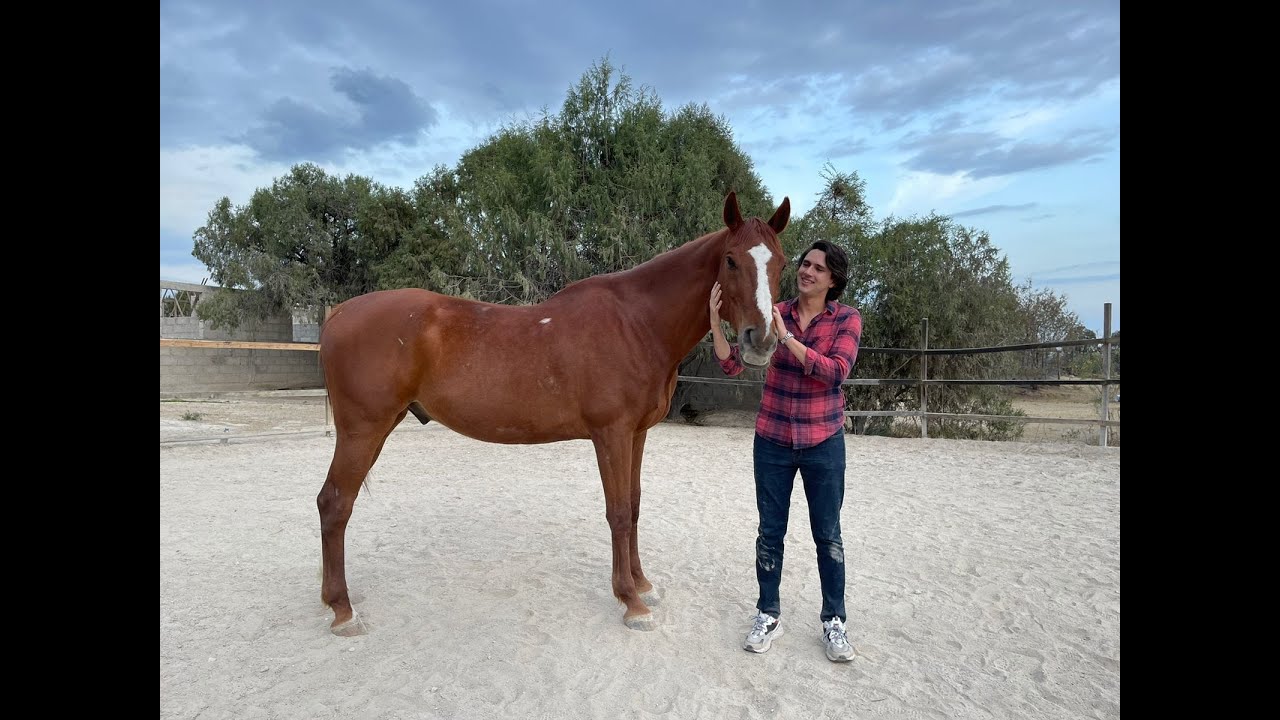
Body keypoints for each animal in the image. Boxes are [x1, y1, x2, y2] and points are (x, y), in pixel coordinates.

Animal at [316, 191, 790, 636]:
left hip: (379, 428)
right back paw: (343, 610)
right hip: (363, 430)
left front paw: (643, 584)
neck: (636, 322)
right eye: (731, 260)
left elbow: (635, 506)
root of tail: (340, 311)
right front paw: (630, 601)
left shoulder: (637, 434)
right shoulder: (611, 434)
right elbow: (618, 512)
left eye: (781, 264)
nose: (762, 340)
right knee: (334, 504)